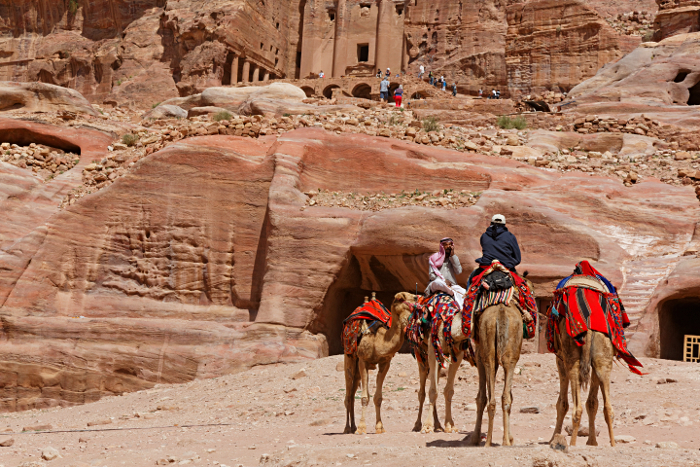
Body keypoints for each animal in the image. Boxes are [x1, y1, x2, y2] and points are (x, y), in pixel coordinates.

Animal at [344, 292, 416, 436]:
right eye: (402, 299)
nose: (417, 301)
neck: (378, 341)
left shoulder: (385, 363)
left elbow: (378, 397)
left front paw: (380, 427)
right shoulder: (363, 361)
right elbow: (365, 397)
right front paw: (362, 428)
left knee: (353, 391)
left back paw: (353, 426)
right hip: (349, 357)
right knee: (348, 393)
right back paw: (348, 428)